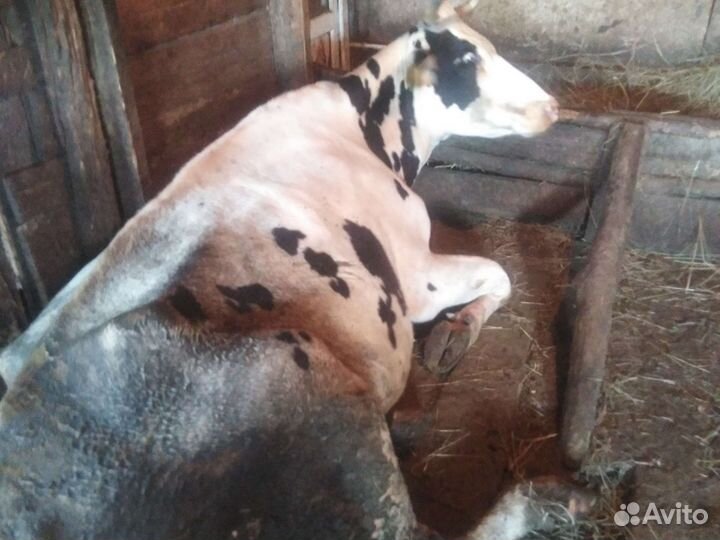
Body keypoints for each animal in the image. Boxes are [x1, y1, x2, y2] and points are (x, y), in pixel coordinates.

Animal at [0, 1, 592, 538]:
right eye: (468, 60)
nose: (553, 105)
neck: (364, 135)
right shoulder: (415, 276)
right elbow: (500, 273)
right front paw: (457, 331)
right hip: (306, 388)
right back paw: (553, 499)